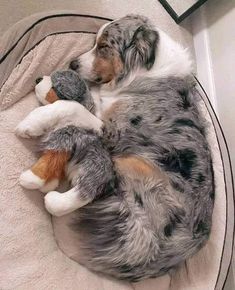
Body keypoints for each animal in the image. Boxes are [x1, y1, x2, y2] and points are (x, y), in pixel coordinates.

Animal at [16, 15, 215, 280]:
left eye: (103, 47)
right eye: (94, 42)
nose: (72, 63)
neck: (146, 72)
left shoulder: (114, 132)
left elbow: (70, 106)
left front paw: (32, 122)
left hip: (136, 170)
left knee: (96, 183)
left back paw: (52, 194)